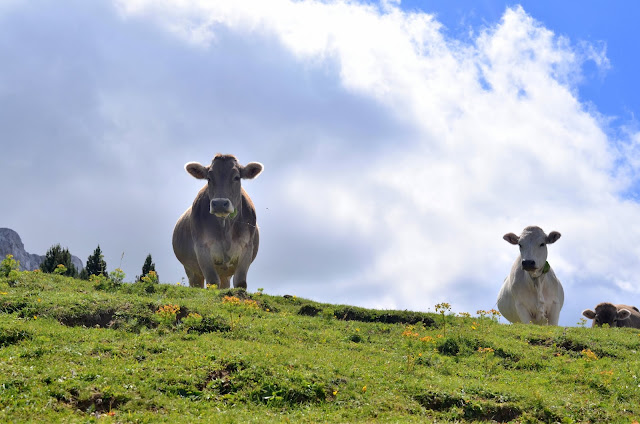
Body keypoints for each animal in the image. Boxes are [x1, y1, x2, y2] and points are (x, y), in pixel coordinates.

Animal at [171, 154, 264, 290]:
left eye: (236, 177)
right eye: (209, 178)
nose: (220, 204)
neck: (225, 228)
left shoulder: (247, 247)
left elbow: (240, 282)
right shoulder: (202, 248)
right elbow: (212, 281)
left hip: (225, 273)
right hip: (191, 270)